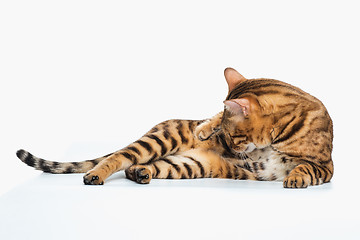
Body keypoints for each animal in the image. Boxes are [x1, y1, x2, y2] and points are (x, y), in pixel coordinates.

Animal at [15, 67, 334, 188]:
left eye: (235, 137)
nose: (230, 148)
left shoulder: (326, 167)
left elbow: (305, 167)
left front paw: (295, 177)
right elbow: (214, 114)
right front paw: (206, 127)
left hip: (188, 164)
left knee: (143, 166)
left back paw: (141, 173)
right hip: (162, 140)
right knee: (118, 157)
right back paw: (96, 174)